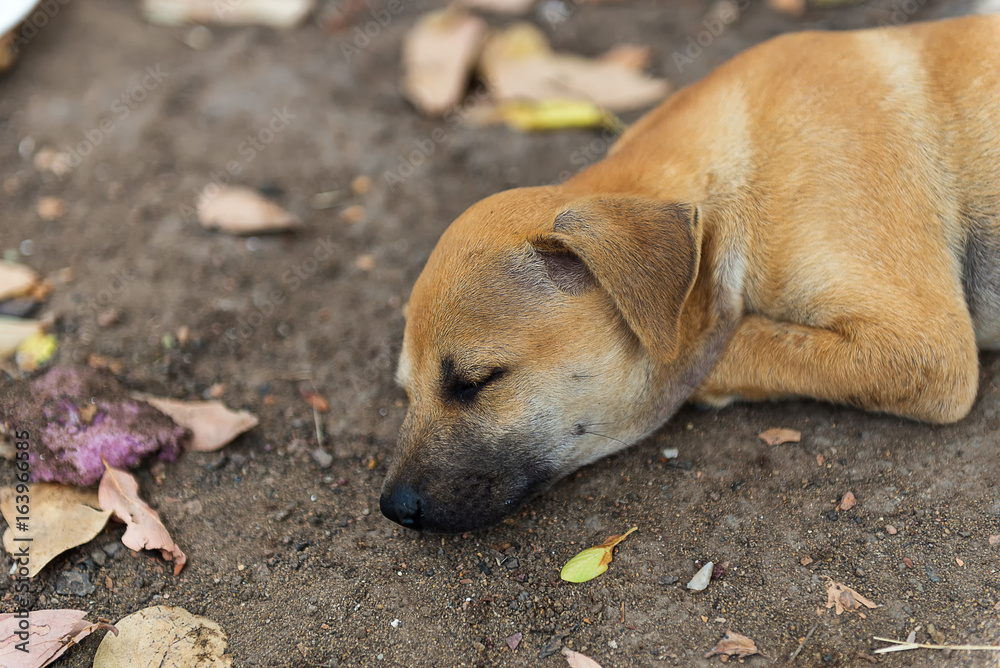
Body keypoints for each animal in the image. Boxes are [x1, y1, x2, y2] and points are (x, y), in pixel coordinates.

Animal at [380, 14, 1000, 532]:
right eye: (405, 391)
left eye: (477, 381)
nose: (392, 508)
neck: (745, 166)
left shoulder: (928, 348)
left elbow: (738, 344)